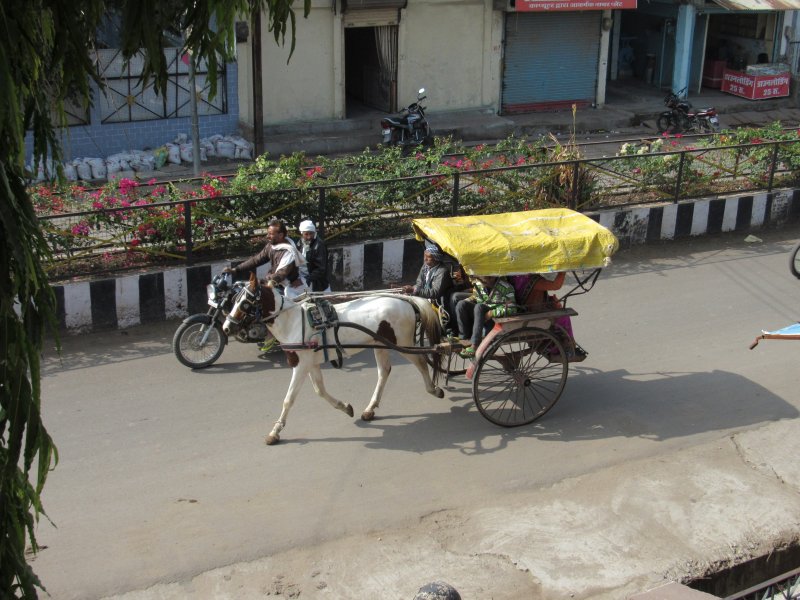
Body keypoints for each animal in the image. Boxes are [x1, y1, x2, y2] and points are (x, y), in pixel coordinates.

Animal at [222, 278, 446, 446]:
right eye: (234, 299)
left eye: (245, 302)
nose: (226, 328)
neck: (293, 321)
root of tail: (405, 299)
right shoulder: (311, 363)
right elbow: (320, 390)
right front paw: (345, 407)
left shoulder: (301, 365)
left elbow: (289, 399)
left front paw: (275, 431)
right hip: (379, 344)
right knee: (384, 371)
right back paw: (370, 408)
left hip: (402, 342)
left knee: (421, 362)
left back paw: (434, 389)